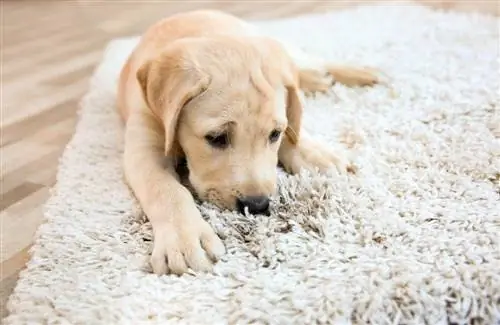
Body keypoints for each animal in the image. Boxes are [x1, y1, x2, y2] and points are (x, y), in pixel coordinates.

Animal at [117, 9, 380, 274]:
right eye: (216, 138)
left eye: (274, 134)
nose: (256, 206)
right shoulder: (145, 145)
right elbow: (166, 189)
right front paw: (184, 239)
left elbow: (293, 122)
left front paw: (315, 153)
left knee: (307, 67)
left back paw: (359, 73)